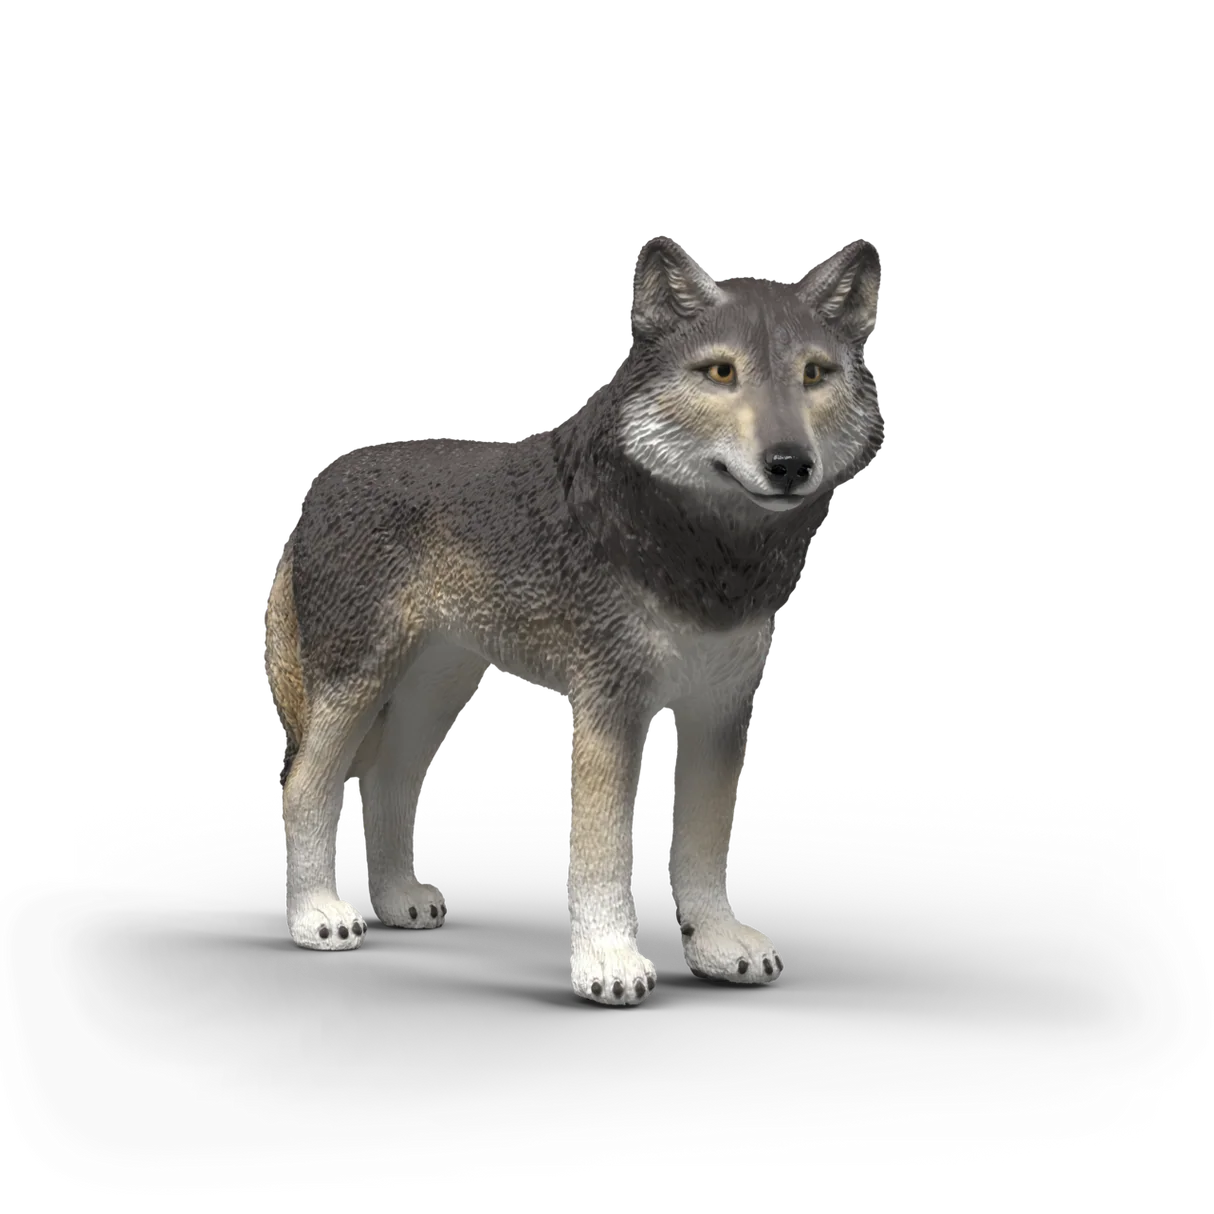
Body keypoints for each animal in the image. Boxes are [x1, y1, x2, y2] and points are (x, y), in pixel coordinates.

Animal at [264, 236, 884, 1004]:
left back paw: (399, 900)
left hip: (434, 692)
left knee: (386, 782)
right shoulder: (608, 705)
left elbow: (703, 846)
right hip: (356, 685)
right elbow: (602, 851)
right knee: (304, 789)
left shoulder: (720, 707)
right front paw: (609, 961)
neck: (708, 555)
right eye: (721, 372)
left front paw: (716, 943)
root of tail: (318, 484)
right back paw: (319, 915)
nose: (790, 463)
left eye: (814, 374)